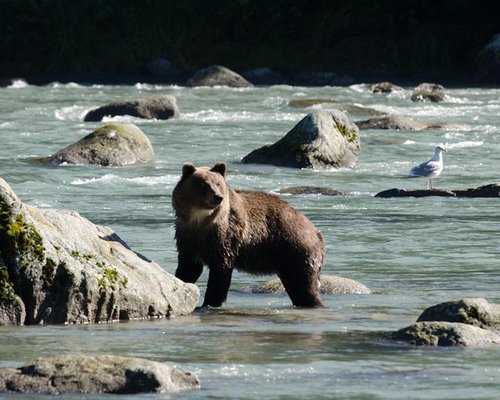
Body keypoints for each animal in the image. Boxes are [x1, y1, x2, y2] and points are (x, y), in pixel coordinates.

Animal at [173, 161, 324, 308]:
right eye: (203, 183)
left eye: (218, 183)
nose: (218, 197)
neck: (200, 220)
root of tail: (316, 231)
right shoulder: (187, 236)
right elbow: (188, 267)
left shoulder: (224, 235)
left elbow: (220, 270)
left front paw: (209, 302)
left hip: (295, 248)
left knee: (303, 284)